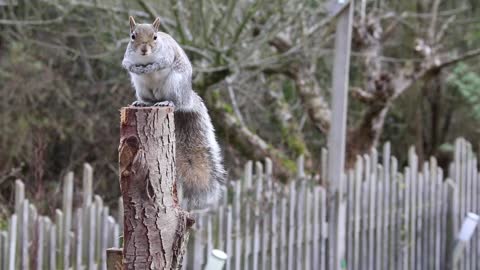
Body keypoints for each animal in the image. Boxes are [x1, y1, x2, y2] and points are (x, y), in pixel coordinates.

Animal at [120, 16, 225, 209]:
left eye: (155, 37)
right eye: (133, 36)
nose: (144, 49)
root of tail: (187, 97)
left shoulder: (167, 55)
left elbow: (162, 63)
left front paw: (150, 67)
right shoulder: (127, 55)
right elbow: (126, 63)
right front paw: (135, 68)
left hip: (175, 84)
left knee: (175, 101)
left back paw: (167, 101)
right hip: (141, 87)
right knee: (149, 100)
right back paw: (143, 102)